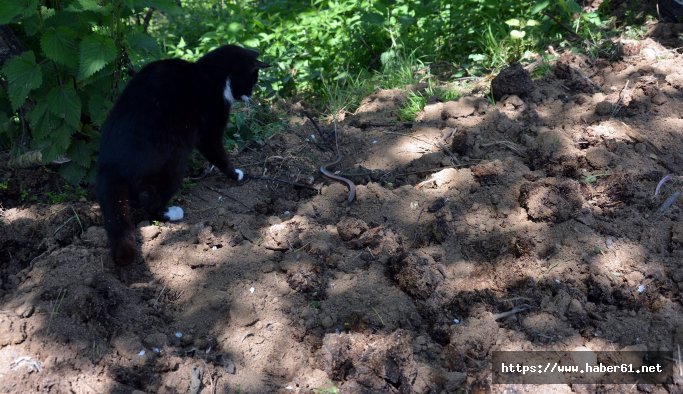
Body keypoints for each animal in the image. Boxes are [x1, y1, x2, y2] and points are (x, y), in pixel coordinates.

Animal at [97, 43, 268, 264]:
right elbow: (216, 151)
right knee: (149, 202)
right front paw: (236, 174)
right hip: (173, 163)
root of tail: (110, 162)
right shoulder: (211, 125)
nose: (251, 95)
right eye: (252, 80)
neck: (211, 73)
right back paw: (172, 213)